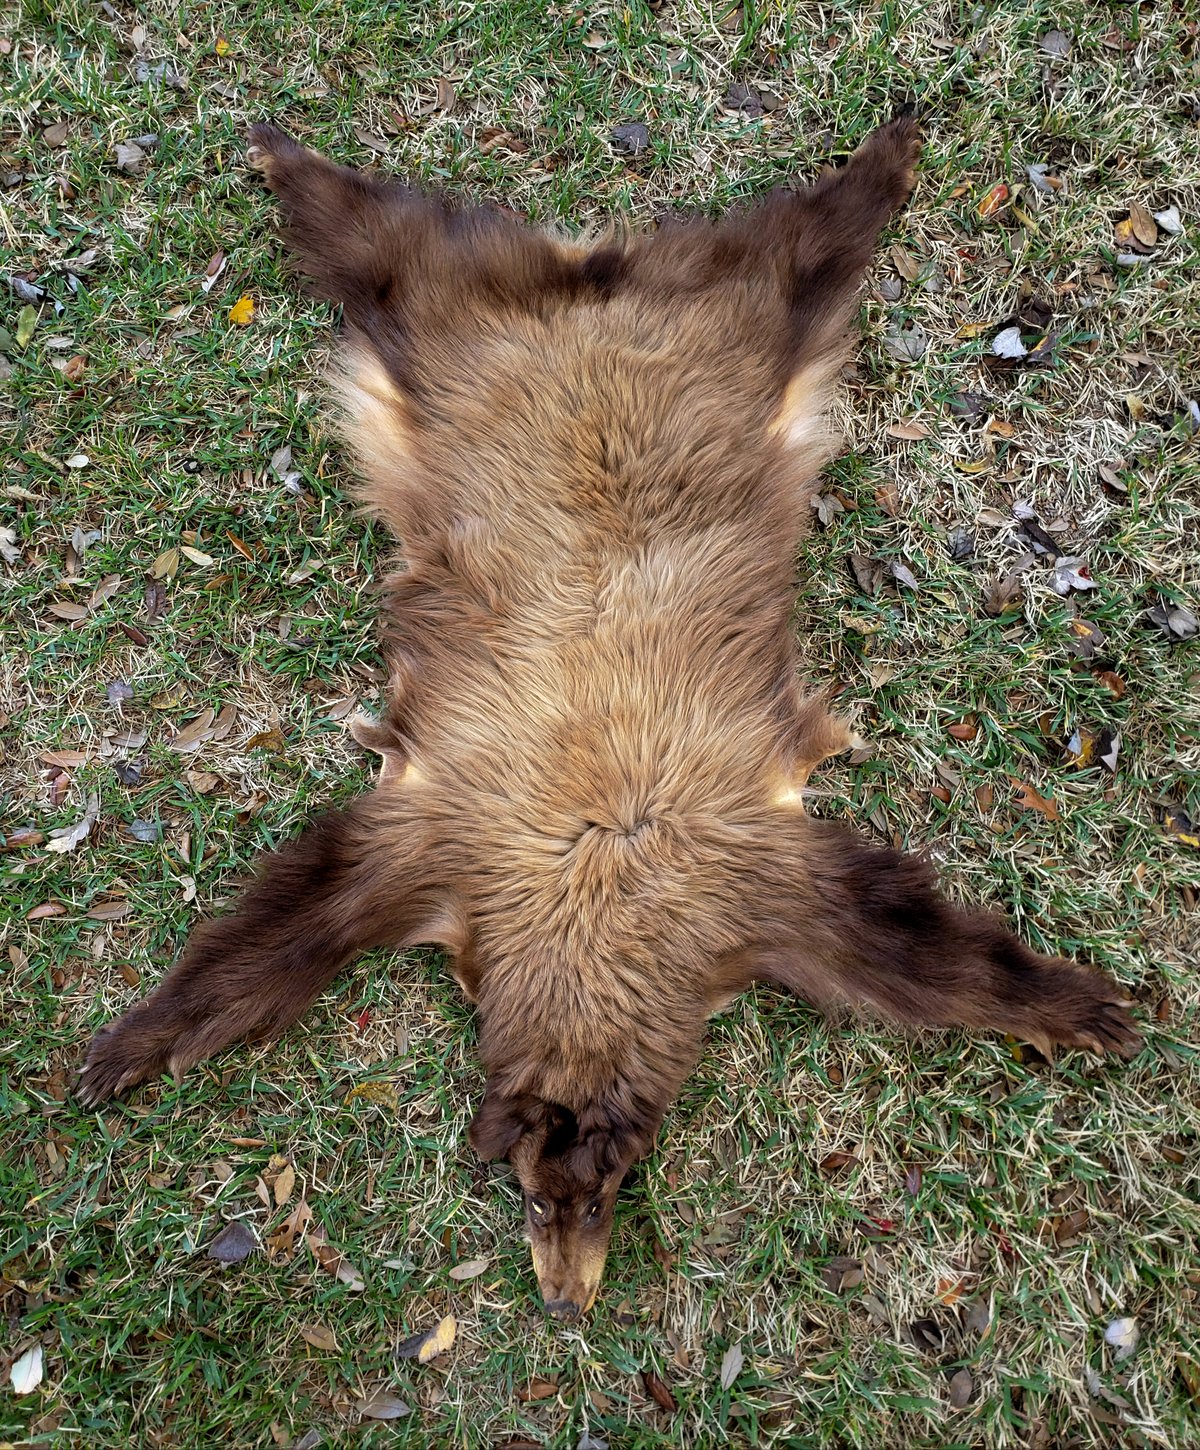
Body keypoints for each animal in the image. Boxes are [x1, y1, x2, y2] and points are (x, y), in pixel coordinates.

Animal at [78, 116, 1140, 1320]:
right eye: (537, 1197)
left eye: (601, 1195)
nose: (564, 1301)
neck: (600, 884)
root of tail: (596, 288)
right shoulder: (438, 843)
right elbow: (284, 928)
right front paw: (137, 1041)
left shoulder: (760, 883)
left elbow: (929, 955)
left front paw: (1074, 1005)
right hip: (447, 318)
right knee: (381, 236)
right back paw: (283, 154)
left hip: (735, 321)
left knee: (802, 241)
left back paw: (887, 153)